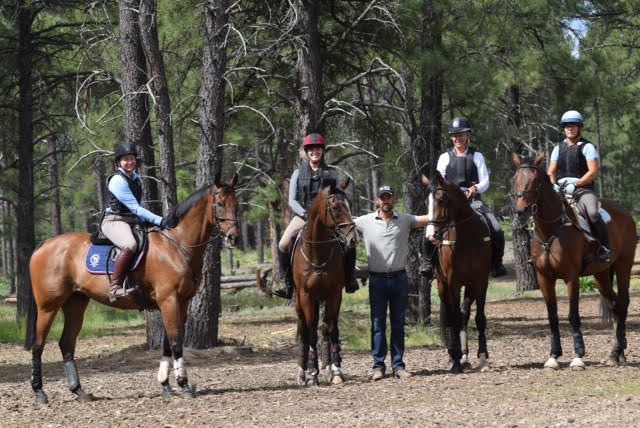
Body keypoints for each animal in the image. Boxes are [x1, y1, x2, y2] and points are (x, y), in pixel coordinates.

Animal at [27, 172, 240, 402]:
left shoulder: (181, 302)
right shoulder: (169, 300)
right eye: (220, 204)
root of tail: (43, 245)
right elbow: (175, 342)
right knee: (38, 344)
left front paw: (165, 384)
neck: (176, 245)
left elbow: (168, 343)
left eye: (236, 204)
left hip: (75, 303)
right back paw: (39, 392)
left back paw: (79, 391)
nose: (233, 237)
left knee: (66, 344)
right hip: (48, 306)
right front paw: (183, 384)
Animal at [292, 179, 358, 386]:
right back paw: (302, 372)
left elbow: (330, 329)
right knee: (304, 330)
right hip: (300, 301)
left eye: (350, 204)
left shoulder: (334, 294)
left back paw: (328, 367)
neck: (317, 254)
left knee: (326, 328)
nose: (353, 239)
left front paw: (336, 371)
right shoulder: (307, 296)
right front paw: (312, 374)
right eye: (335, 207)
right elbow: (311, 331)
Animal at [422, 171, 492, 372]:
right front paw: (455, 359)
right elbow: (452, 317)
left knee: (463, 314)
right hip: (441, 284)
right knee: (451, 315)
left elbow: (479, 318)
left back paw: (464, 355)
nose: (431, 235)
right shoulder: (452, 282)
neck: (466, 237)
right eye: (425, 202)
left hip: (469, 285)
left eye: (442, 199)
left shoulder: (480, 281)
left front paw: (482, 356)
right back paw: (454, 354)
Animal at [510, 155, 636, 372]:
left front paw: (578, 357)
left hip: (623, 266)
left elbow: (573, 315)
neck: (551, 231)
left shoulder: (571, 277)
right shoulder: (544, 278)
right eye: (515, 179)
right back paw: (616, 353)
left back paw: (616, 352)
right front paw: (553, 356)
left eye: (536, 181)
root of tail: (625, 213)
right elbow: (552, 316)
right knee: (613, 304)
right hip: (601, 274)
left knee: (622, 303)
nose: (521, 211)